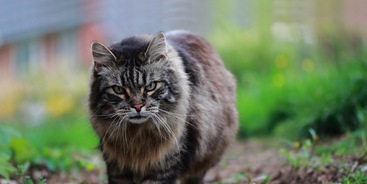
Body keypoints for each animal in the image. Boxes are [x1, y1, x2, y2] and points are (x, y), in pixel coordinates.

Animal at [89, 29, 239, 183]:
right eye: (118, 89)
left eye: (150, 86)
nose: (138, 106)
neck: (137, 137)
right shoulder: (117, 168)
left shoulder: (164, 167)